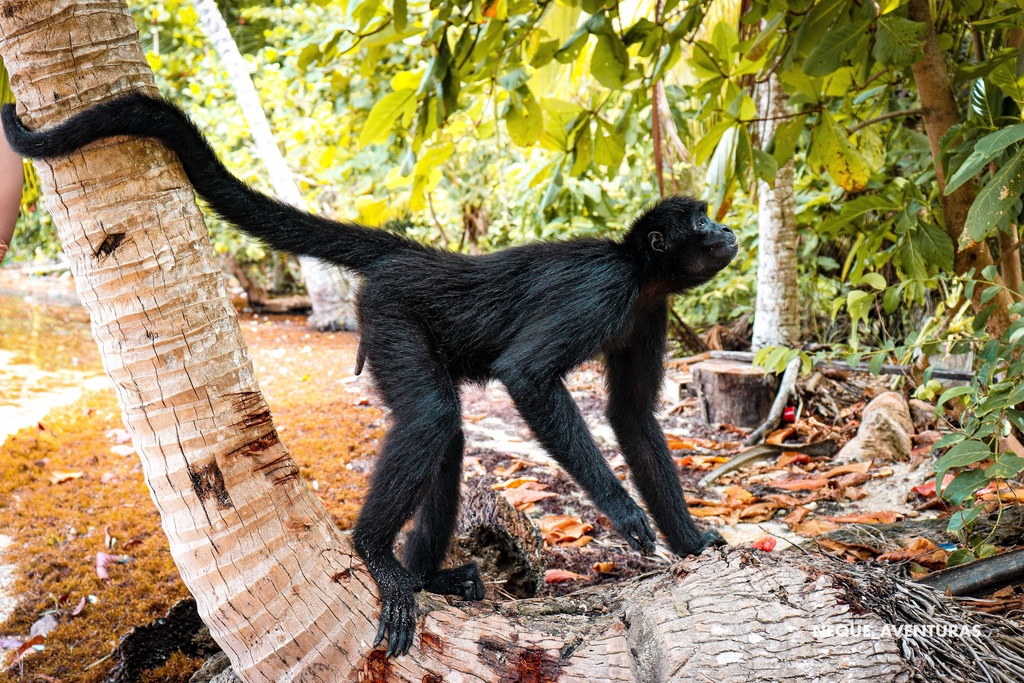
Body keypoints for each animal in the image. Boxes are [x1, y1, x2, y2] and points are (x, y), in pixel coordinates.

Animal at [0, 93, 737, 659]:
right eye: (701, 219)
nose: (727, 229)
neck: (638, 272)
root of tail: (416, 257)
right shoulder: (605, 290)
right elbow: (526, 375)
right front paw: (625, 512)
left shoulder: (648, 309)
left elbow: (632, 417)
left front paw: (690, 539)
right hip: (388, 313)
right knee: (435, 417)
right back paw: (376, 555)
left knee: (447, 435)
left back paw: (427, 577)